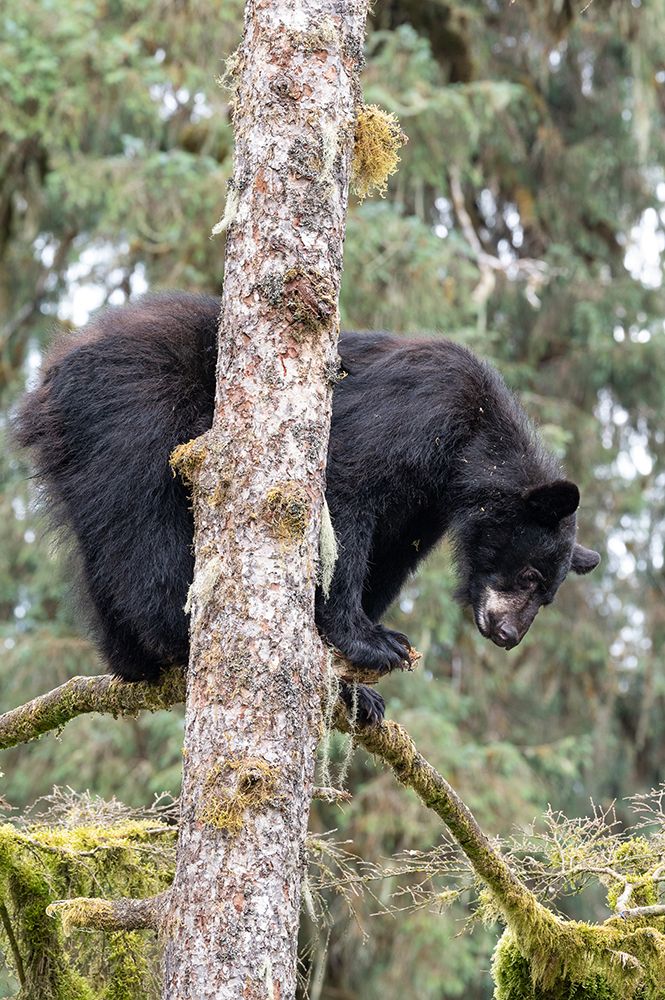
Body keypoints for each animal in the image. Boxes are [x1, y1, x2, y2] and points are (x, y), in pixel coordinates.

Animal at [16, 292, 600, 724]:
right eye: (528, 576)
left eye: (546, 596)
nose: (508, 636)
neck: (471, 443)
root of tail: (51, 369)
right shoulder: (413, 412)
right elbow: (344, 500)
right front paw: (369, 641)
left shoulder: (424, 506)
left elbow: (390, 555)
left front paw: (359, 688)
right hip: (133, 405)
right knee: (140, 517)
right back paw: (175, 632)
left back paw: (132, 660)